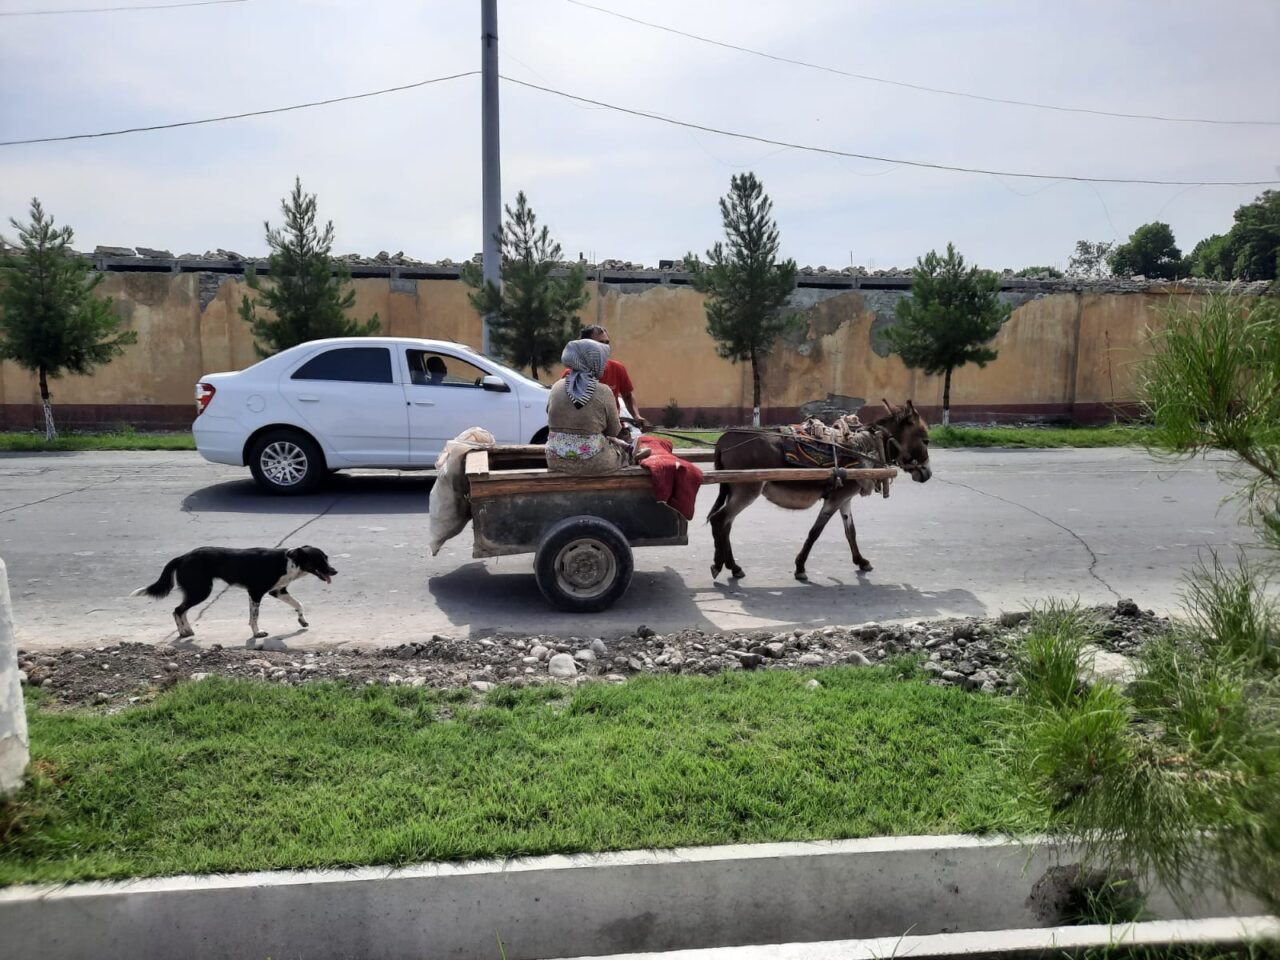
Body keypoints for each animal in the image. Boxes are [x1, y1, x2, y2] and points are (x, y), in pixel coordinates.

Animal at [132, 547, 337, 640]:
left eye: (326, 558)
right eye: (319, 560)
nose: (335, 571)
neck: (289, 562)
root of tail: (182, 557)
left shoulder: (278, 591)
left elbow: (299, 604)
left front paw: (302, 620)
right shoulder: (256, 592)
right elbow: (254, 616)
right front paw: (257, 633)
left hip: (196, 591)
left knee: (181, 610)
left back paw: (186, 631)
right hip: (201, 590)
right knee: (178, 610)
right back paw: (184, 631)